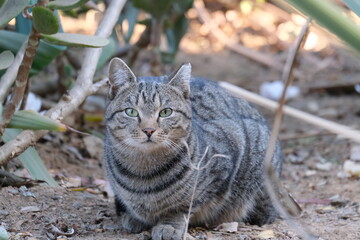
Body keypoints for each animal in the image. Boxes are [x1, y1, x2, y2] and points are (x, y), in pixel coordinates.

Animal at [102, 57, 282, 239]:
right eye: (131, 112)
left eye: (165, 112)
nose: (149, 130)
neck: (143, 169)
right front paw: (134, 217)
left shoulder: (229, 148)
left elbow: (183, 206)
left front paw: (169, 225)